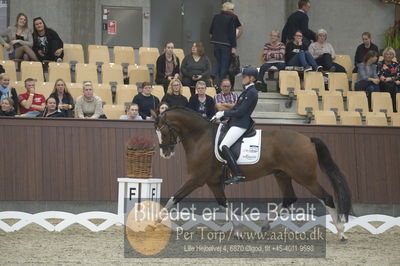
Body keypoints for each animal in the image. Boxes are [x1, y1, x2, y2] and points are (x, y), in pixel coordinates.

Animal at [152, 106, 352, 241]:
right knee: (289, 198)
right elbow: (223, 204)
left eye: (163, 131)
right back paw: (264, 225)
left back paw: (341, 232)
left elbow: (174, 198)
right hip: (282, 174)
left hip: (305, 177)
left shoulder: (195, 179)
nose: (165, 153)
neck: (200, 137)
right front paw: (238, 231)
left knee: (326, 198)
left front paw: (154, 222)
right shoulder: (212, 182)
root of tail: (308, 139)